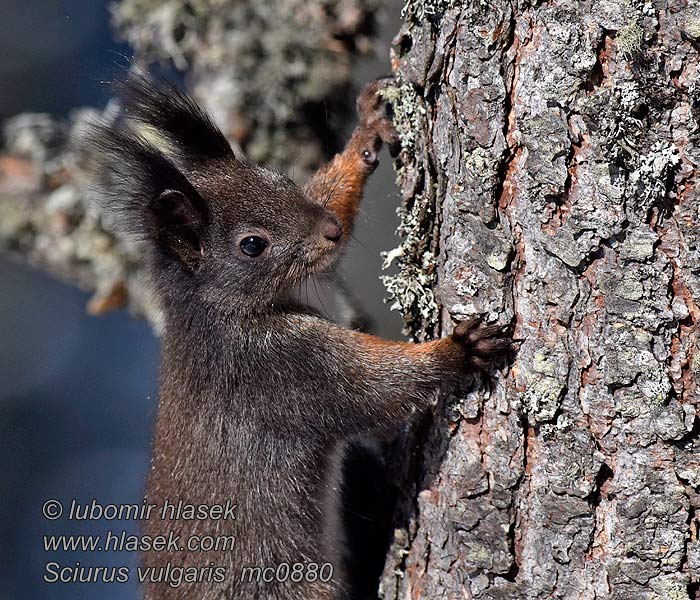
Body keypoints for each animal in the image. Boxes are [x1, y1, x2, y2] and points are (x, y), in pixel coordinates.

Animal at [90, 74, 512, 600]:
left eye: (283, 180)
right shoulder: (284, 367)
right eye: (252, 245)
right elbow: (373, 387)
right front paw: (458, 350)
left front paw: (364, 134)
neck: (217, 314)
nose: (330, 231)